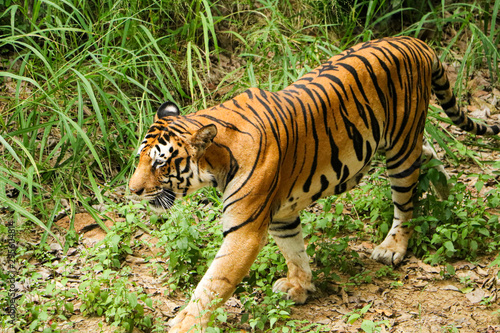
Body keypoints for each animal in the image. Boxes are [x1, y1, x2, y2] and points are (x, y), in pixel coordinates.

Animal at [130, 35, 500, 330]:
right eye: (139, 159)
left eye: (160, 163)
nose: (132, 191)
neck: (217, 160)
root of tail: (415, 41)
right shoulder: (280, 214)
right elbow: (294, 249)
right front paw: (300, 287)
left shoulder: (245, 229)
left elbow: (214, 282)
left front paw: (185, 323)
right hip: (399, 141)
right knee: (428, 151)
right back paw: (446, 191)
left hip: (399, 147)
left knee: (405, 200)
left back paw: (392, 247)